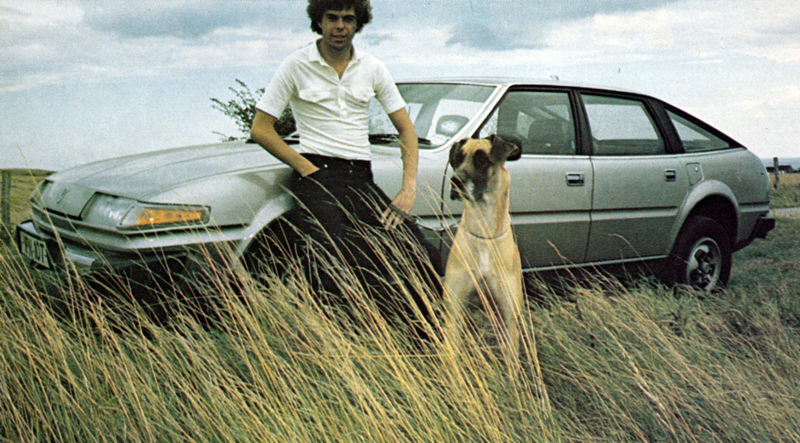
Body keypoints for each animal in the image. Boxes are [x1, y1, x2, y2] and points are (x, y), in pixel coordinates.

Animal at [444, 134, 524, 355]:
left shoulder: (509, 319)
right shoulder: (453, 311)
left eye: (482, 159)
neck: (484, 232)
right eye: (458, 159)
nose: (455, 180)